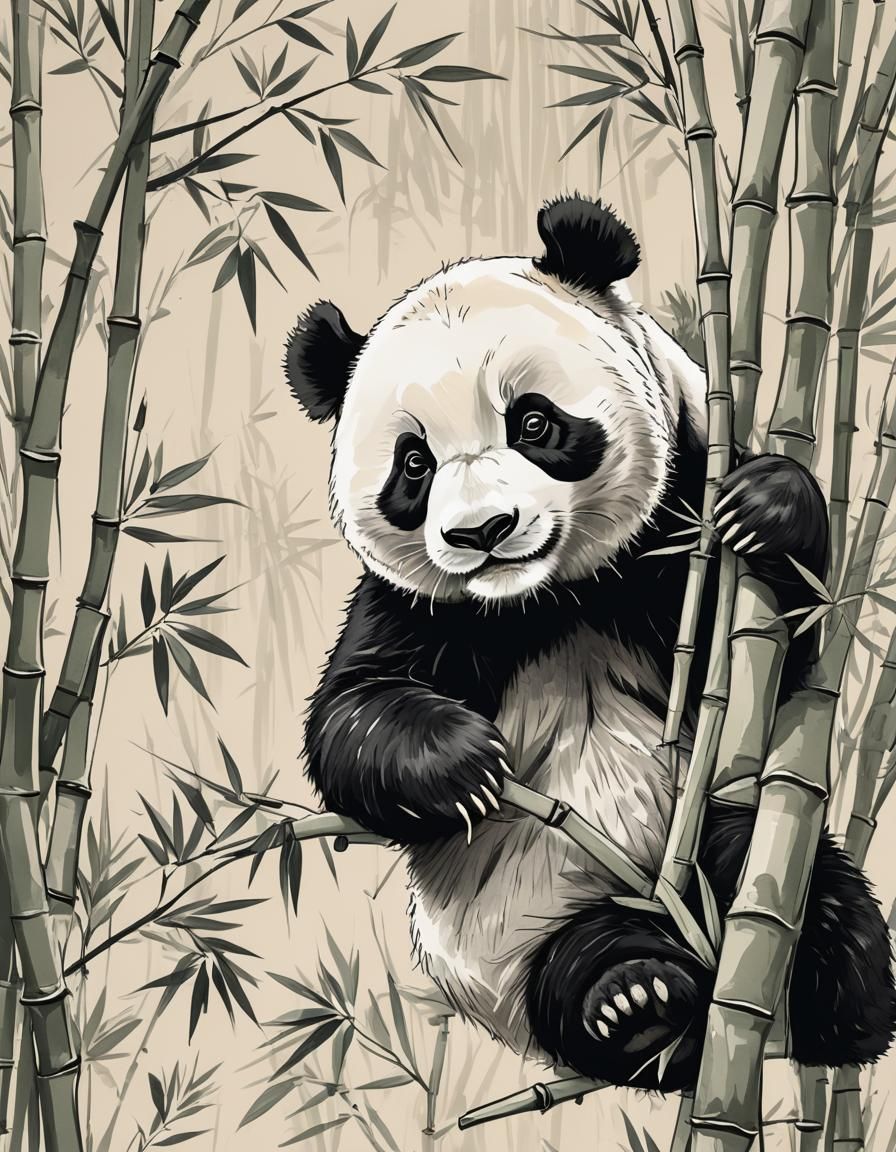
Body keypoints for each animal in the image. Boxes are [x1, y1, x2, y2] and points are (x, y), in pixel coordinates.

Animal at [284, 195, 896, 1090]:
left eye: (534, 422)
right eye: (414, 465)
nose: (483, 532)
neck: (553, 596)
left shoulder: (680, 535)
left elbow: (783, 665)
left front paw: (769, 507)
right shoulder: (416, 605)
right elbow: (351, 711)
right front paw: (464, 764)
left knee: (777, 866)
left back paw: (829, 991)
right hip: (516, 954)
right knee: (575, 971)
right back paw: (634, 1000)